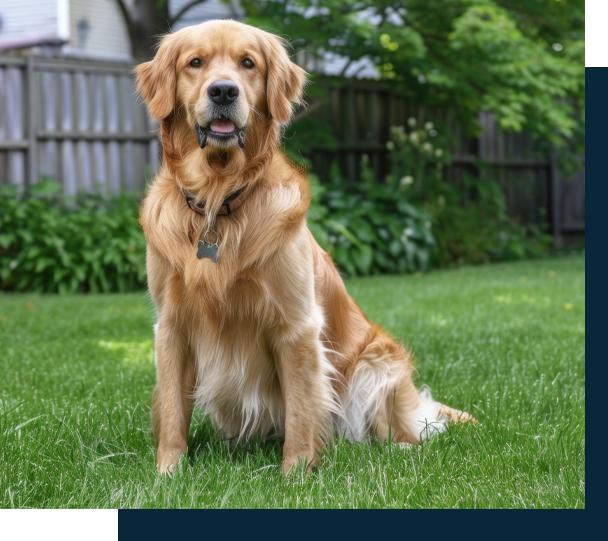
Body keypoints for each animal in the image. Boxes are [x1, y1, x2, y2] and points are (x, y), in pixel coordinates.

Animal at [137, 20, 476, 472]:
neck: (218, 200)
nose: (223, 91)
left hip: (376, 366)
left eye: (248, 63)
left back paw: (396, 449)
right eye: (195, 62)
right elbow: (173, 408)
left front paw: (296, 472)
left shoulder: (296, 324)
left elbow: (301, 408)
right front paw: (168, 472)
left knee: (401, 430)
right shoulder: (171, 325)